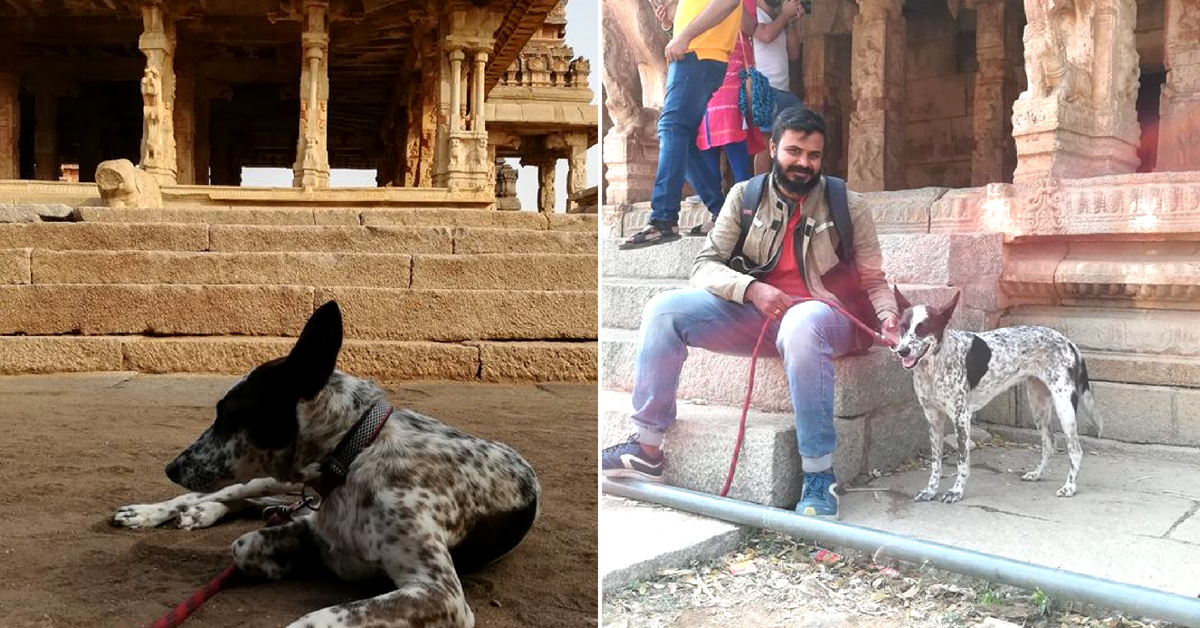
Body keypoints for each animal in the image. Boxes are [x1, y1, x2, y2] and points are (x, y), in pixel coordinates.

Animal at [112, 302, 544, 624]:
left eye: (227, 414)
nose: (171, 468)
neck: (353, 454)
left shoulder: (440, 593)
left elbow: (315, 613)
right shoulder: (312, 521)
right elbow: (244, 544)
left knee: (251, 502)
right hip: (266, 480)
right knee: (227, 494)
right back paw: (155, 512)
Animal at [888, 286, 1099, 504]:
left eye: (923, 328)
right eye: (903, 327)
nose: (901, 351)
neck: (934, 367)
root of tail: (1069, 342)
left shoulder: (961, 418)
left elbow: (962, 461)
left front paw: (957, 491)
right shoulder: (933, 419)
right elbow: (935, 462)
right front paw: (930, 490)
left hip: (1064, 407)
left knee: (1075, 450)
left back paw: (1070, 487)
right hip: (1038, 404)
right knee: (1049, 444)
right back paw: (1036, 474)